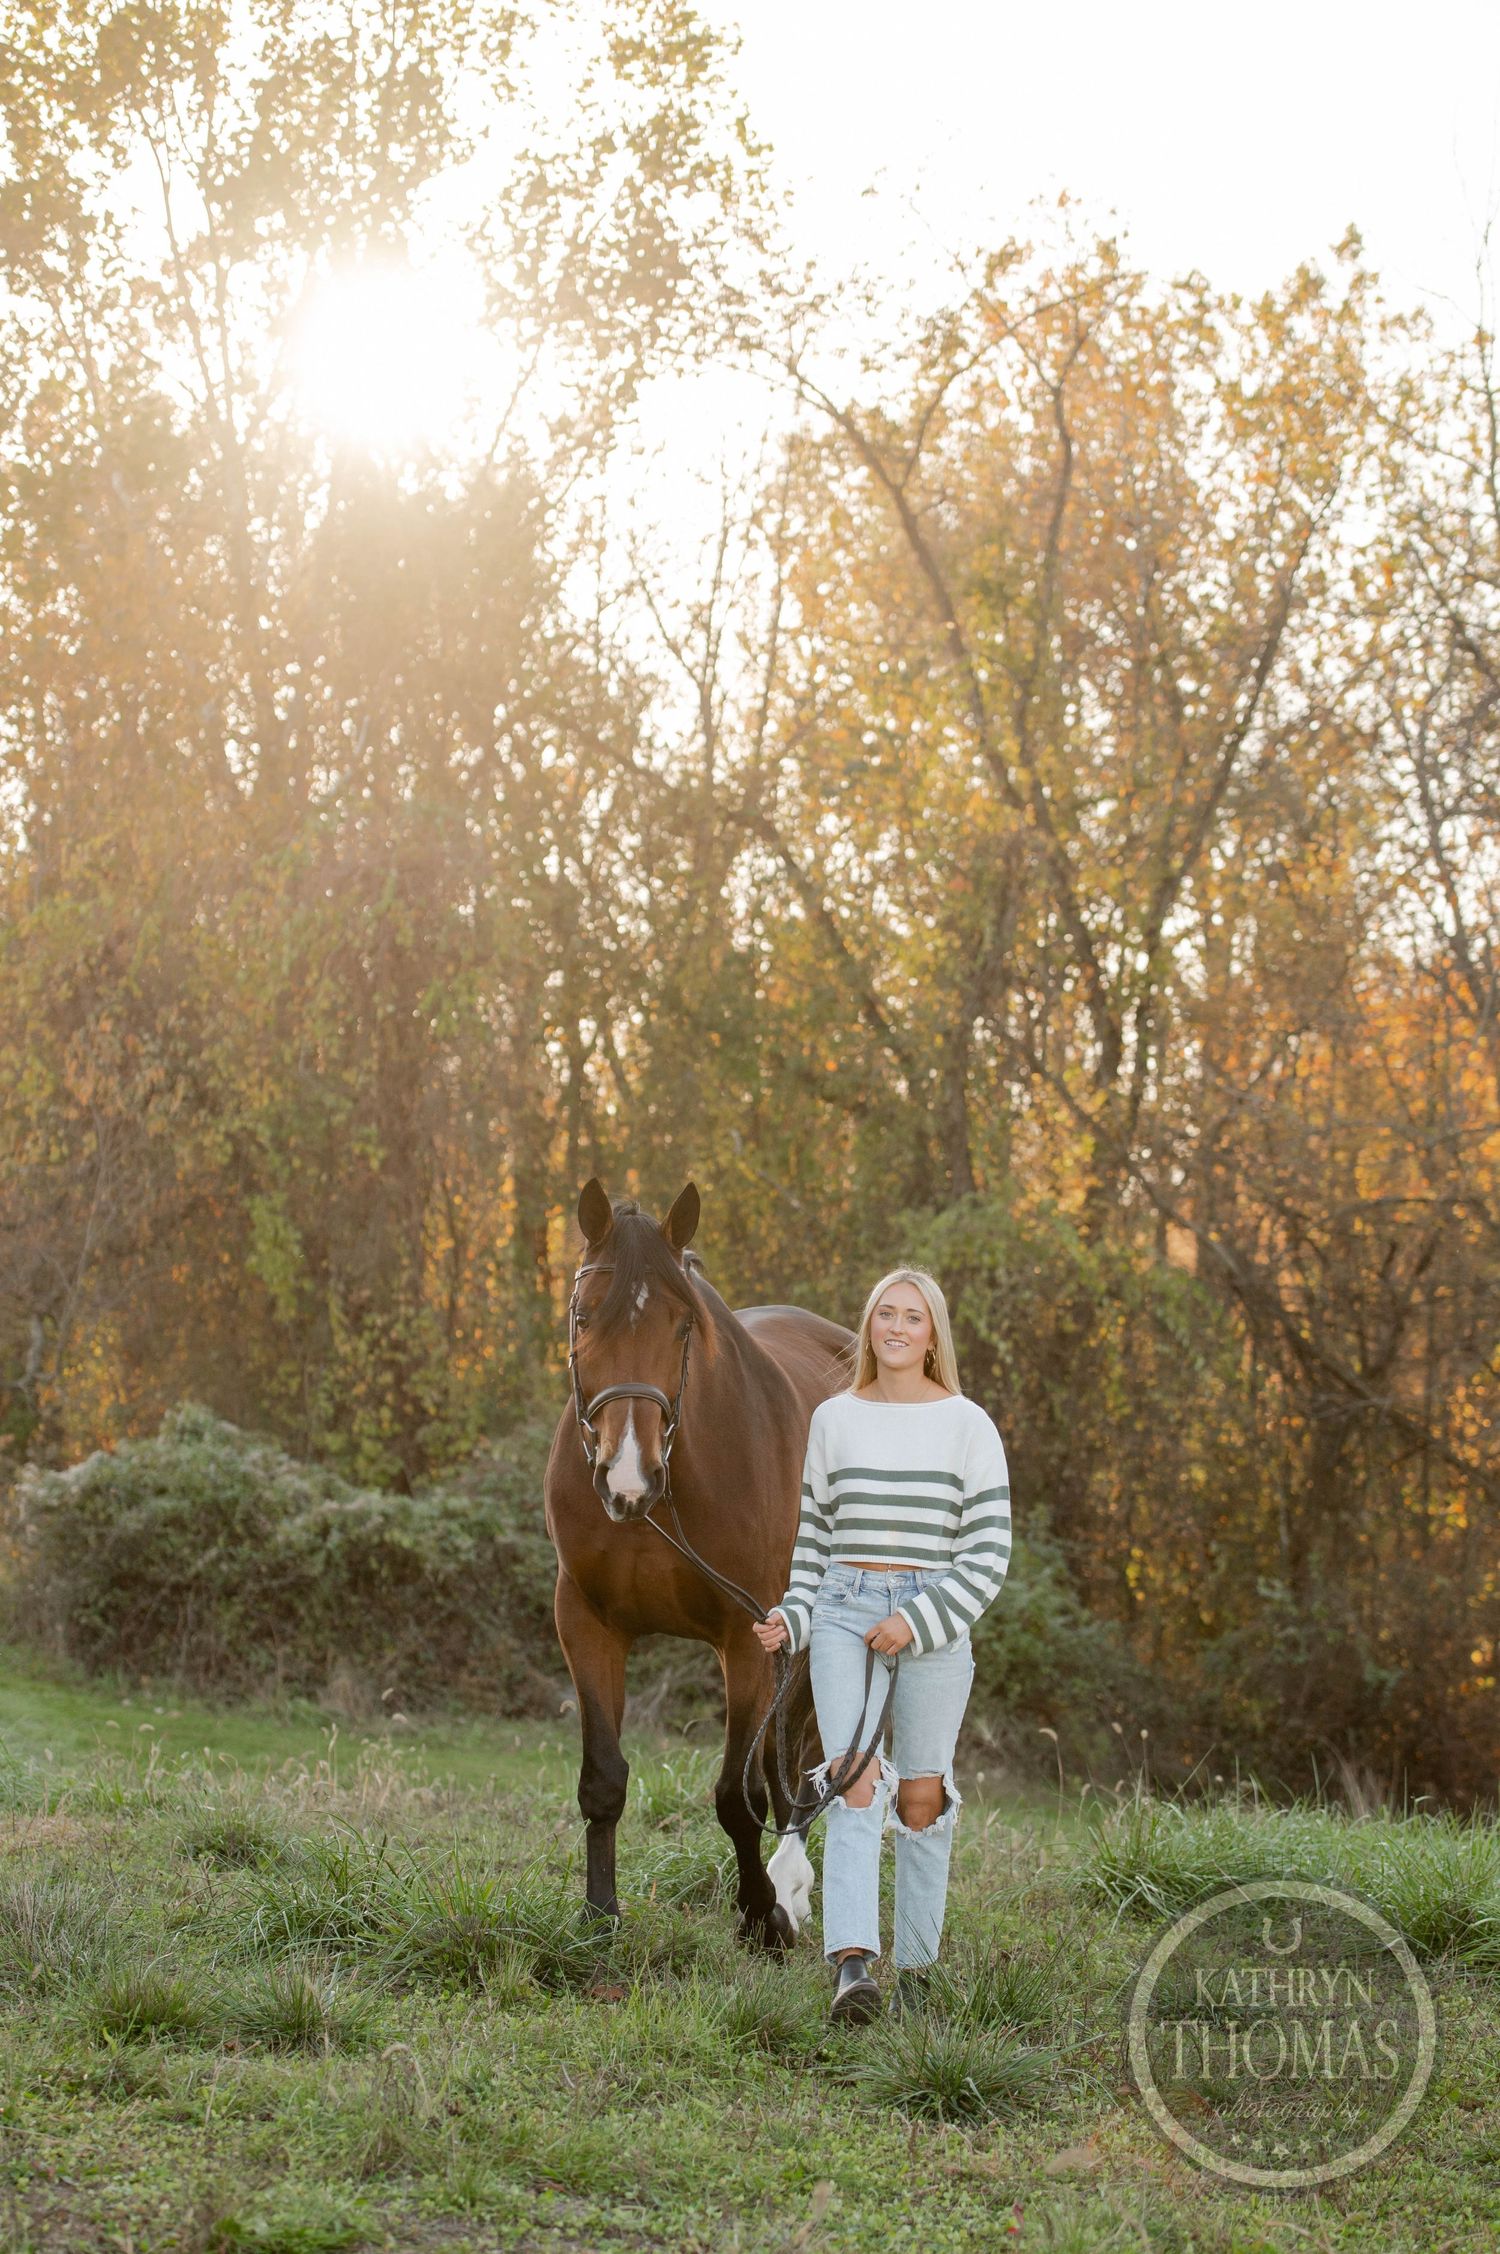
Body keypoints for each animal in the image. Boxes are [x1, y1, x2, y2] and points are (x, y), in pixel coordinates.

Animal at [543, 1176, 855, 1948]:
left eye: (682, 1326)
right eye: (582, 1316)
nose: (627, 1477)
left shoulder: (747, 1635)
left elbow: (737, 1796)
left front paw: (763, 1916)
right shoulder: (586, 1622)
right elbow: (602, 1778)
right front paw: (600, 1916)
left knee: (799, 1761)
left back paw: (792, 1888)